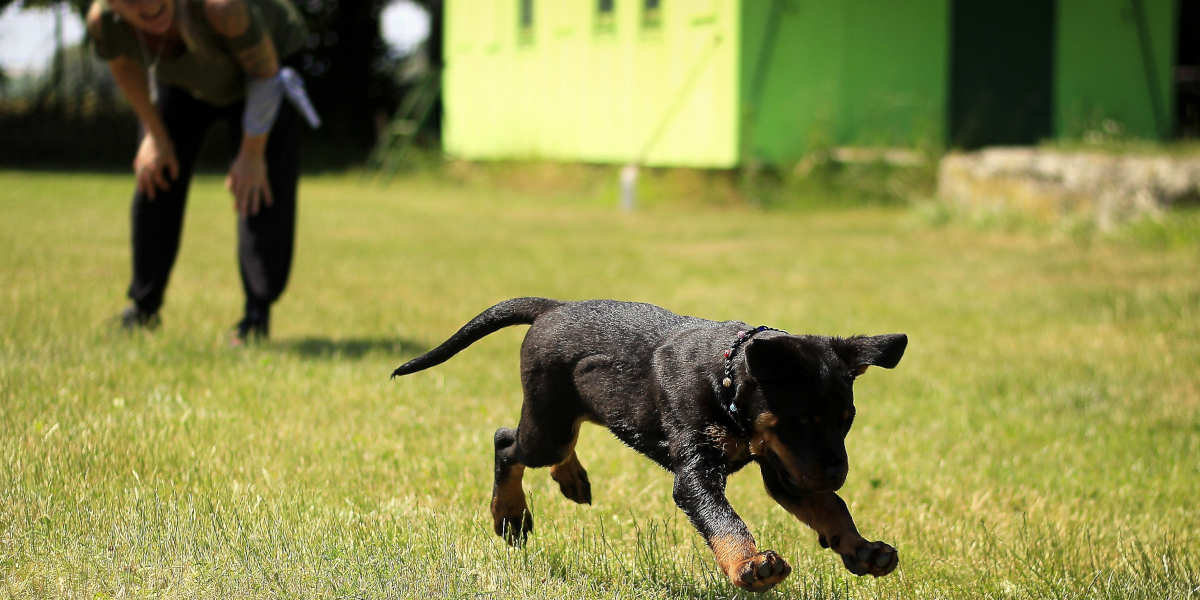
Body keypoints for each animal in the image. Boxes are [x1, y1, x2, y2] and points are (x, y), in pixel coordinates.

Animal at [393, 297, 907, 592]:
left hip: (572, 412)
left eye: (846, 421)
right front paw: (749, 566)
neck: (725, 377)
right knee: (507, 443)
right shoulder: (699, 472)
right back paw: (511, 515)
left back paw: (571, 479)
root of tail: (552, 308)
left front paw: (862, 549)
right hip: (547, 423)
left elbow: (831, 507)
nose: (838, 473)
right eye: (800, 421)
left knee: (558, 444)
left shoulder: (786, 470)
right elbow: (724, 520)